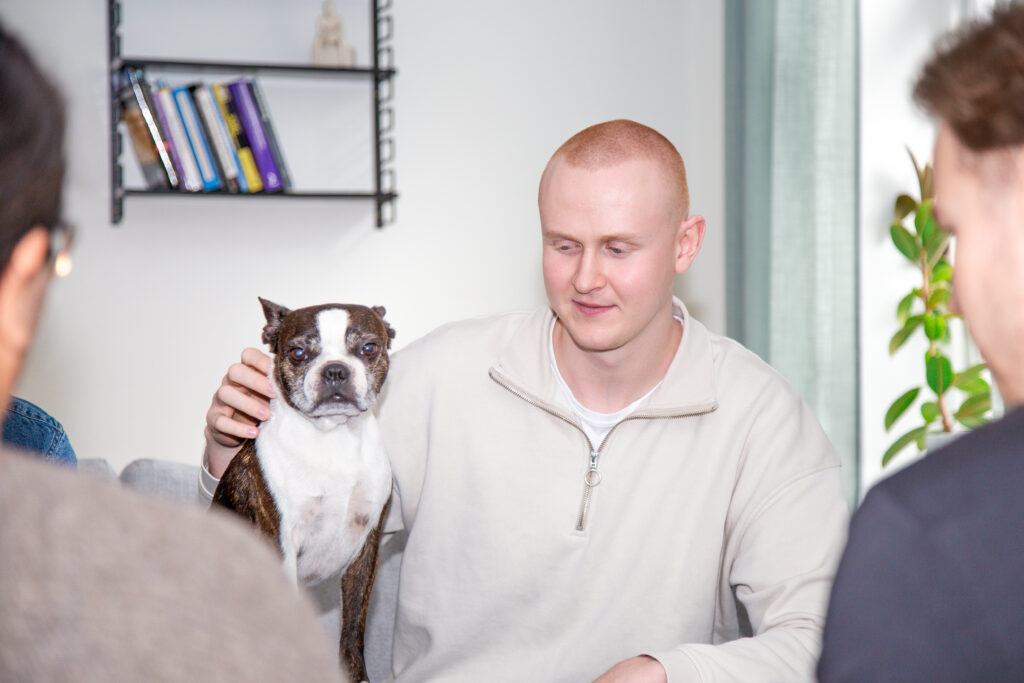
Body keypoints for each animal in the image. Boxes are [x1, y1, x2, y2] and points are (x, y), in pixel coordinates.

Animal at [212, 297, 395, 682]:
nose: (336, 370)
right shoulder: (281, 544)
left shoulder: (365, 549)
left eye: (369, 348)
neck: (334, 437)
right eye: (297, 353)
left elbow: (352, 630)